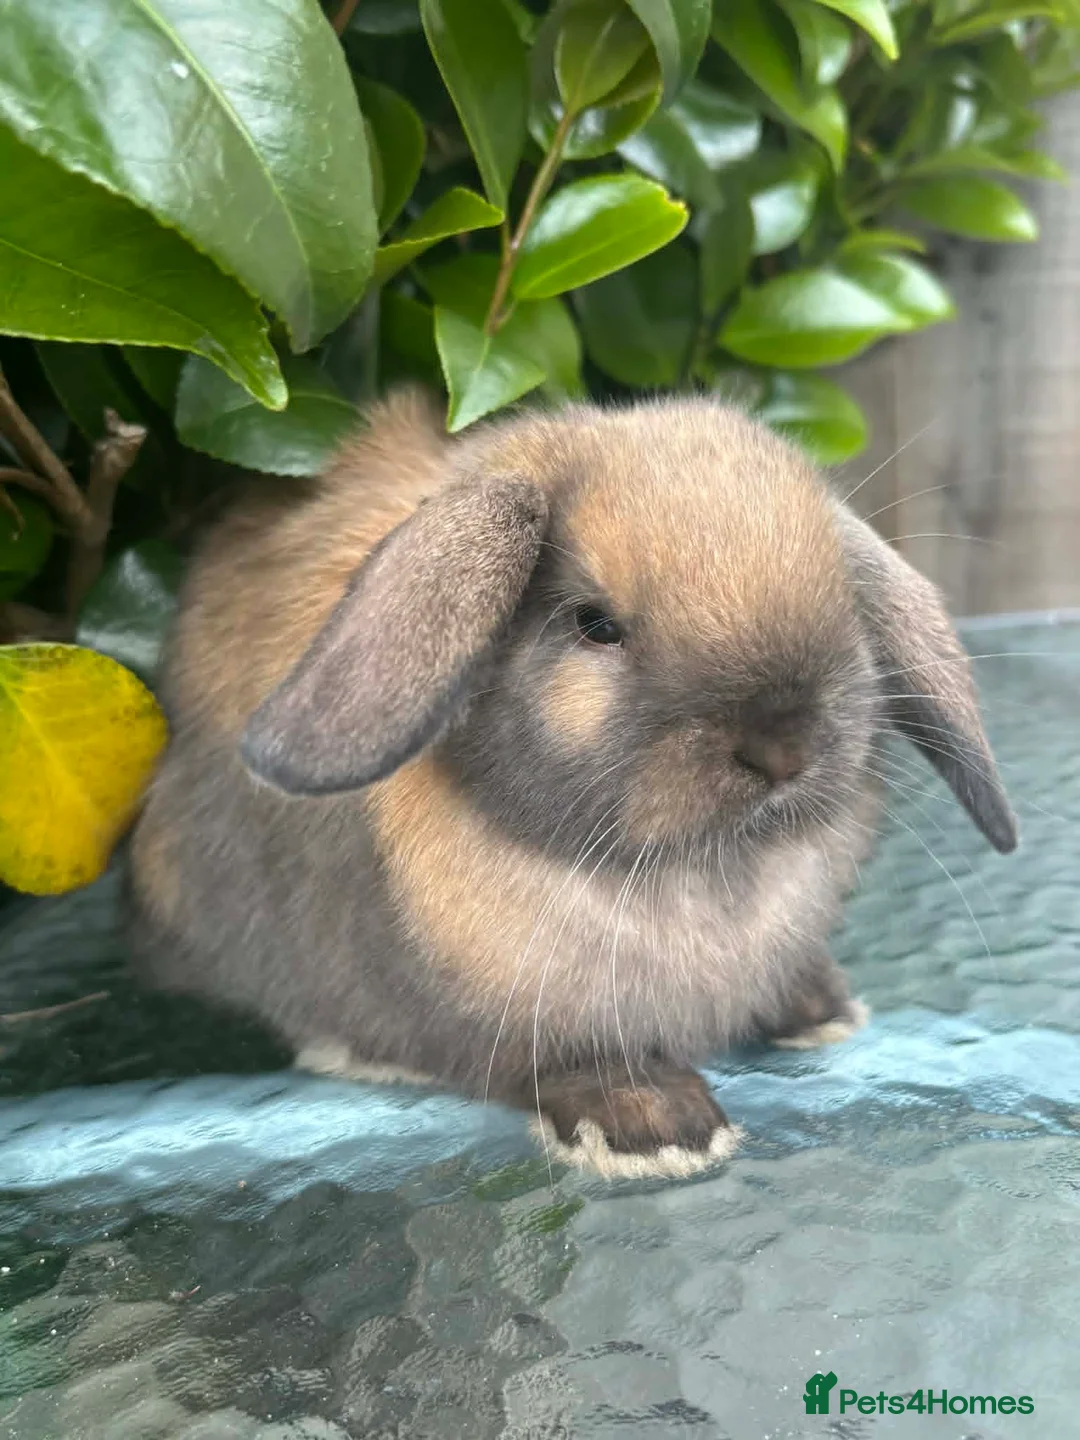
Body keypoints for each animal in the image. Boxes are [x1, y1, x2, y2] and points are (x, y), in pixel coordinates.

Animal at [128, 391, 1017, 1178]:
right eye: (596, 624)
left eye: (843, 599)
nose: (782, 747)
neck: (694, 879)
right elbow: (553, 1061)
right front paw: (657, 1124)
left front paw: (819, 1010)